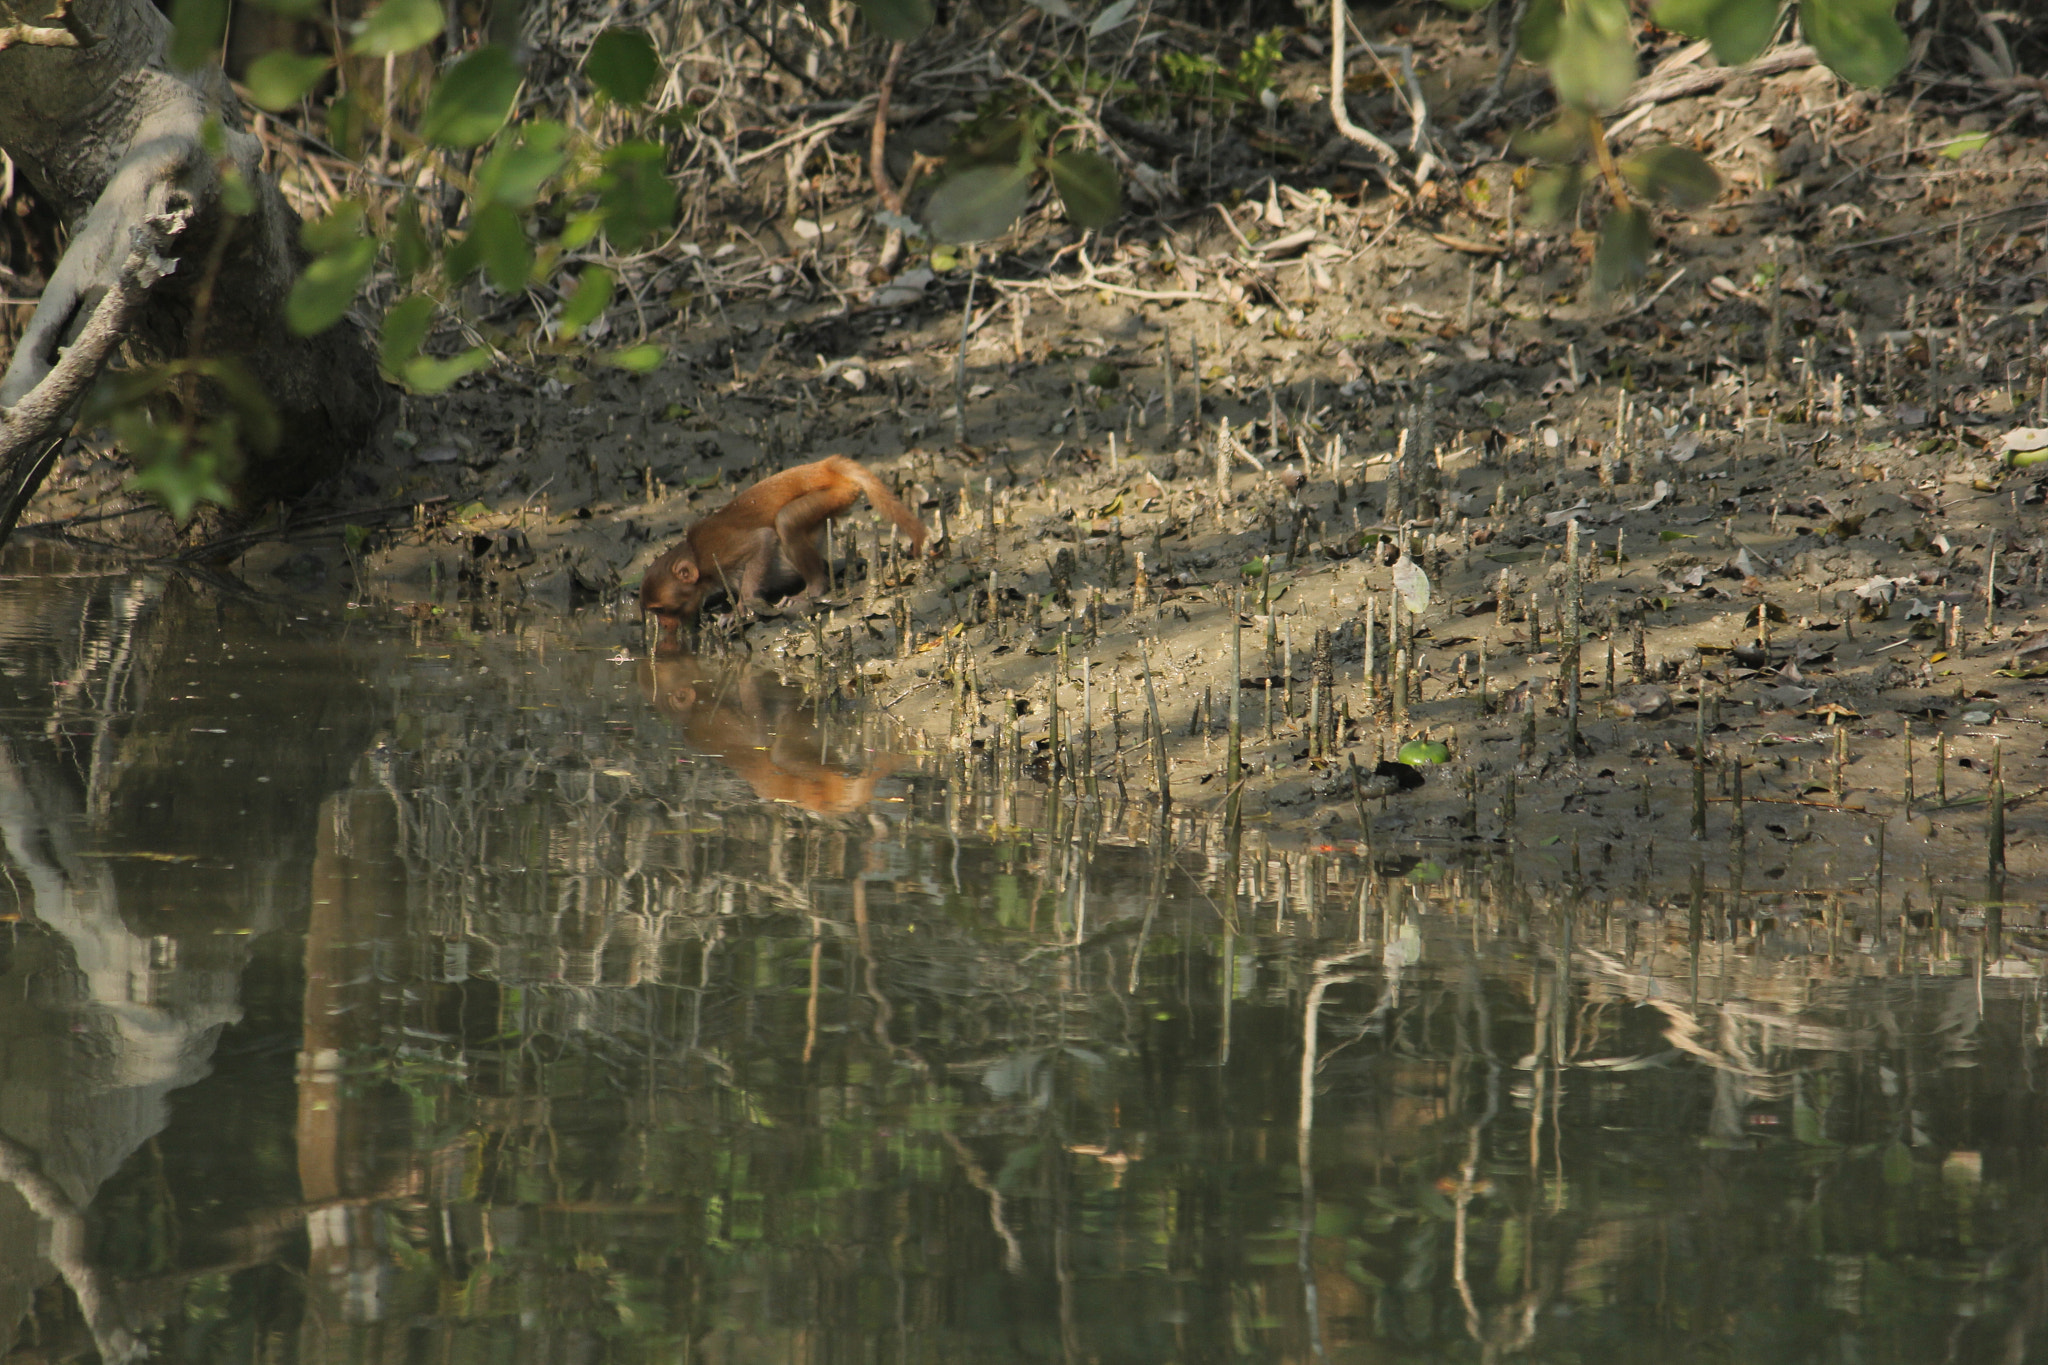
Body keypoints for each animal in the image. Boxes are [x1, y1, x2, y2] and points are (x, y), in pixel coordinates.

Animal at [639, 455, 928, 631]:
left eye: (661, 609)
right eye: (655, 612)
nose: (663, 625)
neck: (695, 553)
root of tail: (824, 467)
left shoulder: (718, 553)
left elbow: (763, 541)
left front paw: (741, 609)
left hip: (836, 494)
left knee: (786, 521)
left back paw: (814, 589)